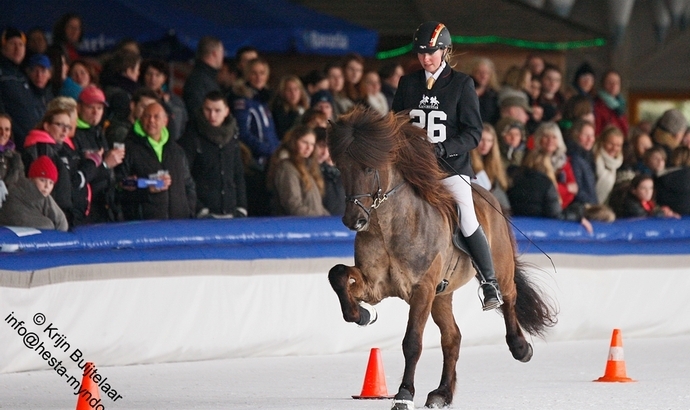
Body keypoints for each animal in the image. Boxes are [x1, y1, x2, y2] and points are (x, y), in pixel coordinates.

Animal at [326, 106, 556, 410]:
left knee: (508, 297)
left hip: (498, 268)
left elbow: (412, 342)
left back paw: (520, 347)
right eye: (341, 168)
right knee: (452, 337)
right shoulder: (376, 284)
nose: (354, 220)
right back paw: (441, 393)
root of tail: (489, 197)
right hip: (442, 295)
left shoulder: (422, 289)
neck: (389, 225)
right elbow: (338, 274)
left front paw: (404, 395)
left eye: (369, 167)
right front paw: (364, 314)